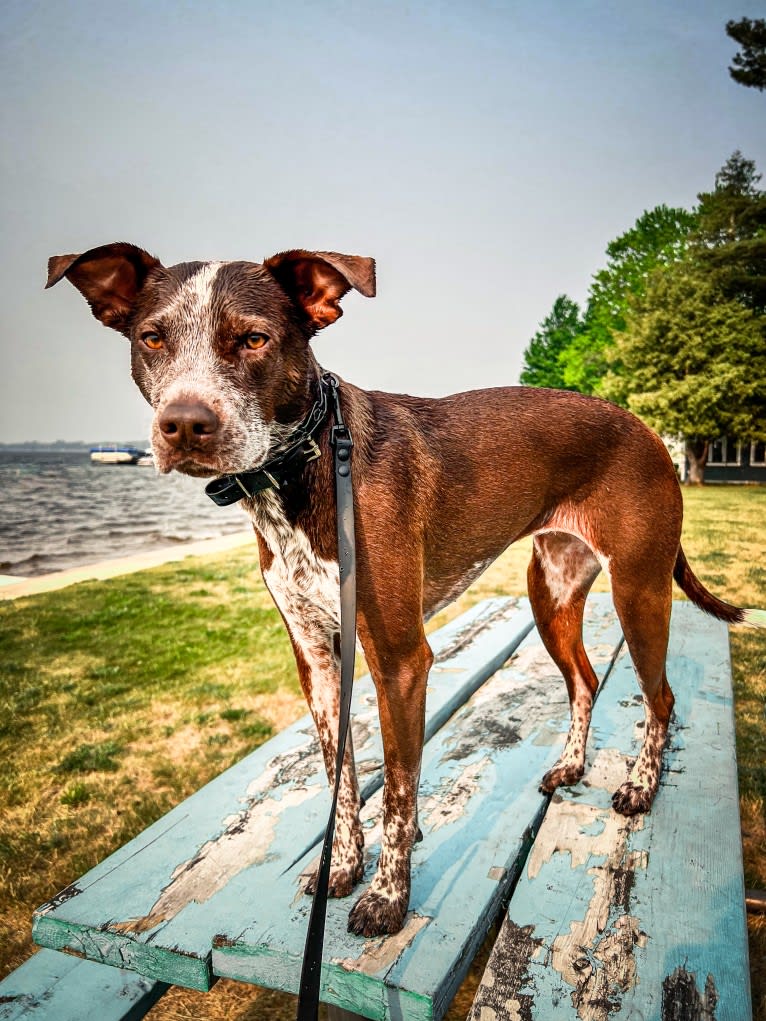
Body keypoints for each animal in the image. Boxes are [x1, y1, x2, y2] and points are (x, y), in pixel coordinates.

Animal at [44, 242, 751, 935]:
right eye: (153, 338)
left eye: (253, 339)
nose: (185, 424)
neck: (307, 468)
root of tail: (647, 429)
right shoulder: (316, 660)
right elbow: (342, 777)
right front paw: (341, 869)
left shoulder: (399, 658)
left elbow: (400, 787)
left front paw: (387, 897)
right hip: (550, 592)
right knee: (584, 680)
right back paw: (573, 765)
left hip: (638, 590)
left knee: (660, 697)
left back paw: (640, 787)